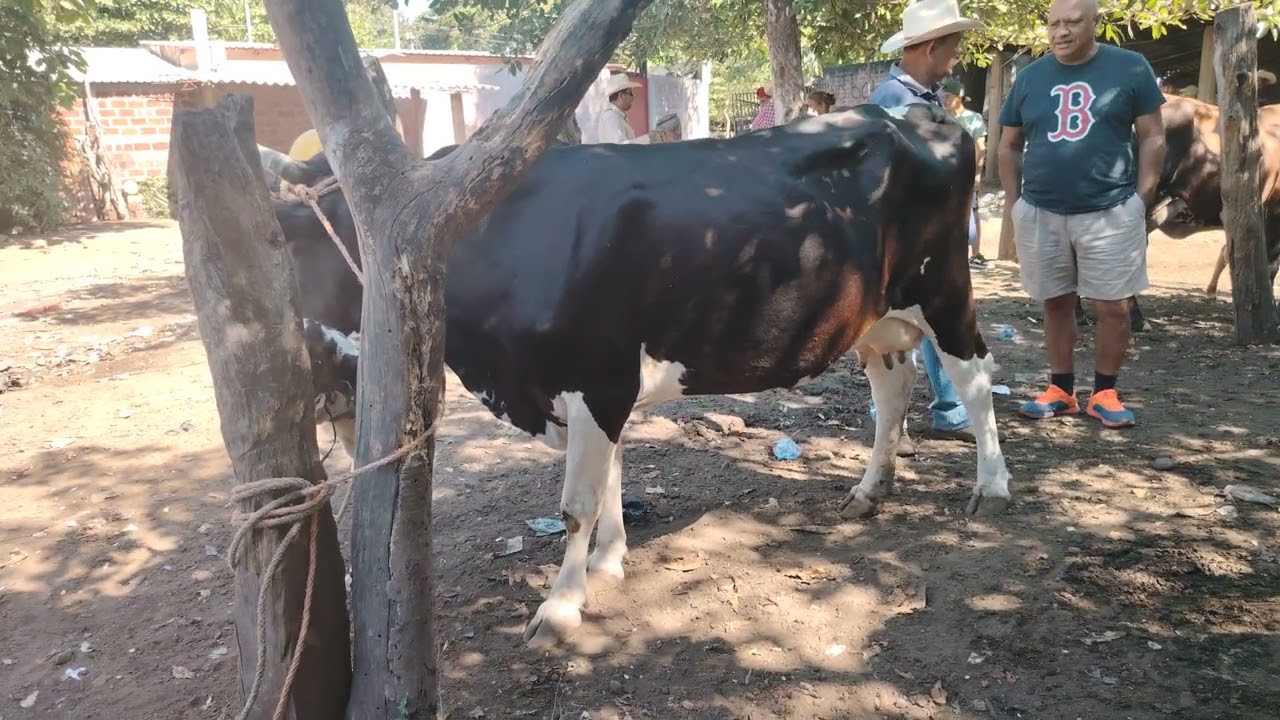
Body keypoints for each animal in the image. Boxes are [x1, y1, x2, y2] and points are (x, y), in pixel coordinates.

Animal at [281, 103, 1014, 649]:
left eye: (290, 242)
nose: (319, 388)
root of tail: (916, 114)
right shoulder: (592, 389)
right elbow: (610, 475)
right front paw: (608, 560)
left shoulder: (598, 377)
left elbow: (576, 502)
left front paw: (561, 604)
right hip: (874, 315)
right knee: (891, 389)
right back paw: (869, 490)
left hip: (943, 288)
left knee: (975, 377)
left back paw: (992, 487)